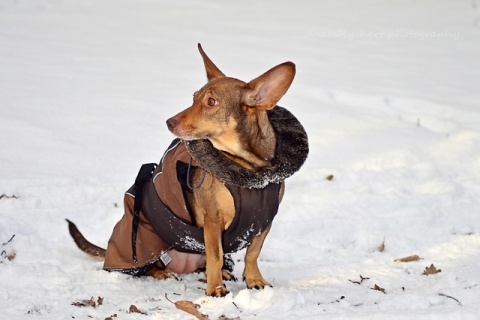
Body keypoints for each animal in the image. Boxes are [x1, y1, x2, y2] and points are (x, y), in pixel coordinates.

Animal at [66, 43, 308, 296]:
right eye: (194, 98)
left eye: (211, 102)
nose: (169, 122)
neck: (248, 169)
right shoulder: (212, 221)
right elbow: (216, 255)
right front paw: (215, 289)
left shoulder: (264, 223)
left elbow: (252, 253)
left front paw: (253, 279)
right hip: (145, 242)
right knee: (150, 266)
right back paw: (164, 273)